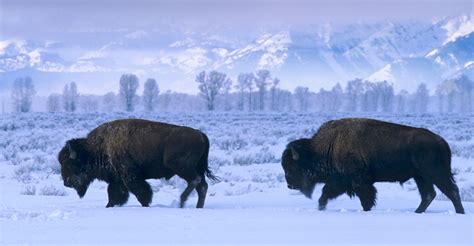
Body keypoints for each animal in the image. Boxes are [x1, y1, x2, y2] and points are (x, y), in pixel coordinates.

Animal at [57, 118, 218, 209]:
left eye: (70, 164)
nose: (66, 182)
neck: (96, 148)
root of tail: (201, 134)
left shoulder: (130, 176)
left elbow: (141, 193)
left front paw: (146, 205)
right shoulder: (117, 180)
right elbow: (113, 195)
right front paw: (109, 206)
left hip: (180, 166)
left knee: (195, 180)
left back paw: (181, 201)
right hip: (196, 168)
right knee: (202, 186)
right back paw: (197, 207)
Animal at [284, 117, 464, 213]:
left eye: (292, 167)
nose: (290, 185)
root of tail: (441, 141)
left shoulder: (359, 182)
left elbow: (366, 198)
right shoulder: (340, 181)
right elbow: (325, 193)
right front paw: (320, 207)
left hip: (435, 174)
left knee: (451, 191)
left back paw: (459, 213)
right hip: (420, 177)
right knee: (429, 195)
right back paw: (417, 212)